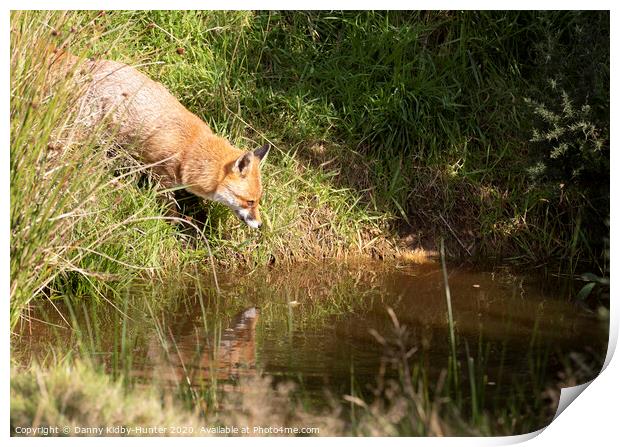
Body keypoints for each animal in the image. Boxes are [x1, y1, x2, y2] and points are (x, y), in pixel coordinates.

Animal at [49, 49, 268, 229]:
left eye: (258, 201)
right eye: (250, 202)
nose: (260, 225)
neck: (190, 149)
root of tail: (89, 63)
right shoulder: (161, 174)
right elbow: (170, 209)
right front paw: (174, 228)